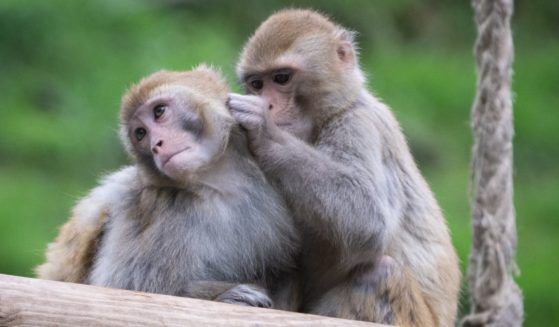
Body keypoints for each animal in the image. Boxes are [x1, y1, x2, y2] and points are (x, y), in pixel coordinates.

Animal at [35, 66, 302, 310]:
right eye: (140, 133)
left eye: (159, 111)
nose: (156, 144)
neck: (218, 183)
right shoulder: (161, 208)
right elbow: (126, 288)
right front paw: (229, 294)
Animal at [226, 9, 460, 326]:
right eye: (257, 84)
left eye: (281, 78)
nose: (267, 104)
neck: (328, 115)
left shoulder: (357, 126)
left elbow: (369, 218)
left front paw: (264, 132)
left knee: (379, 275)